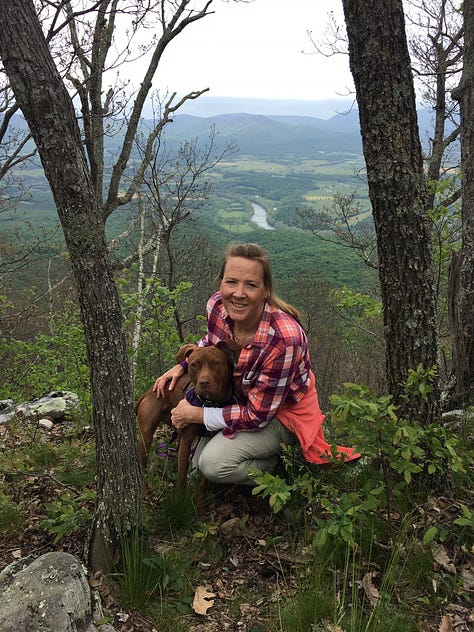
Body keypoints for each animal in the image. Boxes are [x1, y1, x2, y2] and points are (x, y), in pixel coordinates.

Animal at [136, 340, 241, 488]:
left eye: (216, 363)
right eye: (194, 364)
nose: (204, 382)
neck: (208, 403)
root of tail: (148, 392)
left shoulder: (207, 439)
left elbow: (203, 482)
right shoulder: (186, 439)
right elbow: (181, 479)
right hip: (145, 436)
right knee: (143, 468)